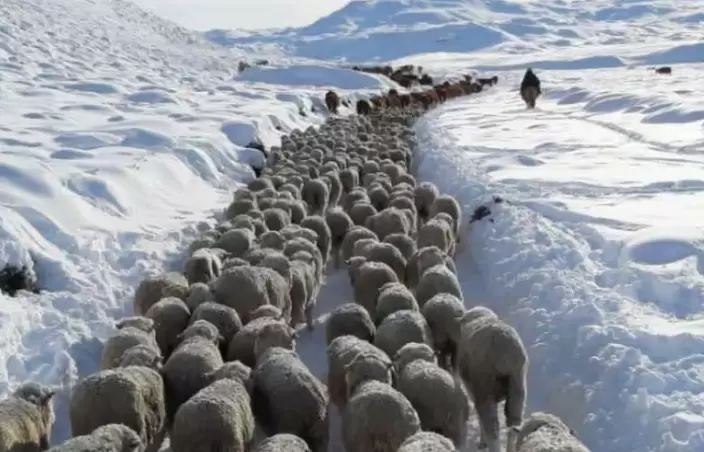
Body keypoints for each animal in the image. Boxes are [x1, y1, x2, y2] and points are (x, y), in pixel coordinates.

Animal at [456, 307, 528, 452]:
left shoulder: (473, 390)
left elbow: (480, 419)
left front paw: (482, 443)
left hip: (484, 385)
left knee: (492, 429)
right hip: (518, 385)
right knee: (514, 425)